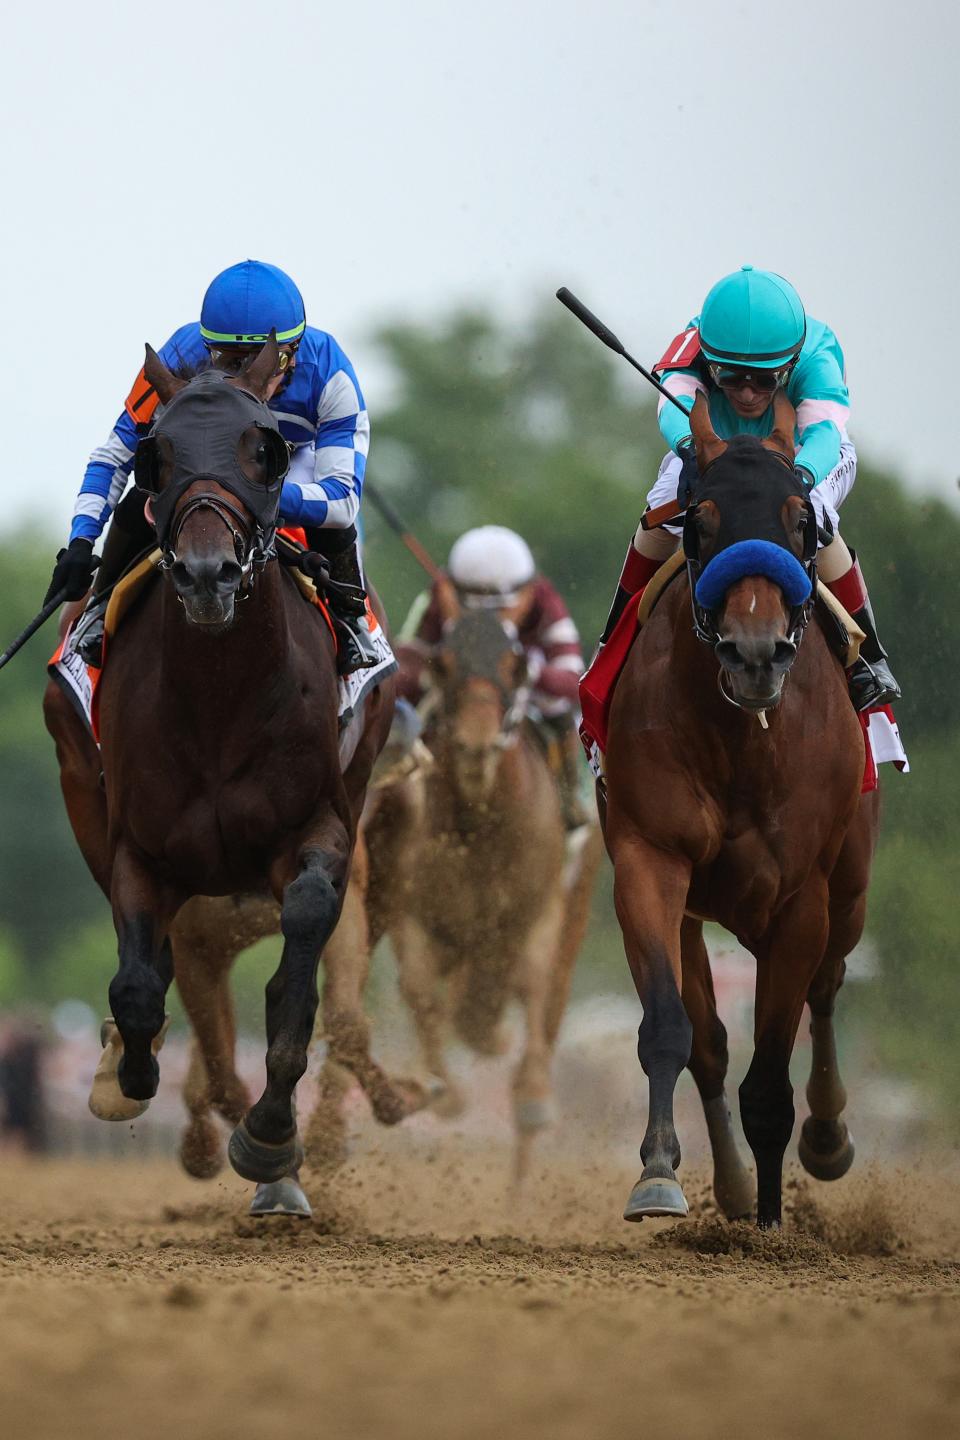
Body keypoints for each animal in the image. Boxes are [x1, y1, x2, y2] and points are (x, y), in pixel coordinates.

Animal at [44, 339, 420, 1203]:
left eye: (263, 450)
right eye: (161, 454)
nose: (207, 574)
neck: (220, 697)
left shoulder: (318, 832)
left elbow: (299, 981)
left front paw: (273, 1137)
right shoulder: (140, 851)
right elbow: (140, 987)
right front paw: (128, 1076)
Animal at [604, 391, 880, 1226]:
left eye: (800, 522)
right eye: (702, 519)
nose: (754, 651)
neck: (745, 740)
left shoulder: (801, 899)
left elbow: (770, 1081)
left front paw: (770, 1222)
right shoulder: (649, 858)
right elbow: (675, 1028)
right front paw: (661, 1174)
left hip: (848, 891)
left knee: (827, 989)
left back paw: (826, 1139)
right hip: (701, 911)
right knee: (712, 1040)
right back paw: (728, 1187)